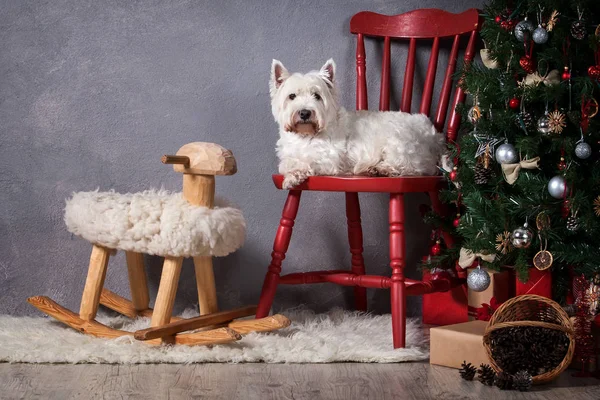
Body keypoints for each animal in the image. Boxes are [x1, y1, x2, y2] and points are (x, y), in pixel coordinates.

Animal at [270, 58, 442, 190]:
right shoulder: (289, 154)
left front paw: (292, 177)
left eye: (317, 96)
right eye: (292, 96)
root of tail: (434, 134)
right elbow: (286, 163)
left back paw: (381, 169)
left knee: (411, 166)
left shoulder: (329, 160)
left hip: (399, 140)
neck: (306, 135)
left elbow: (306, 162)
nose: (305, 113)